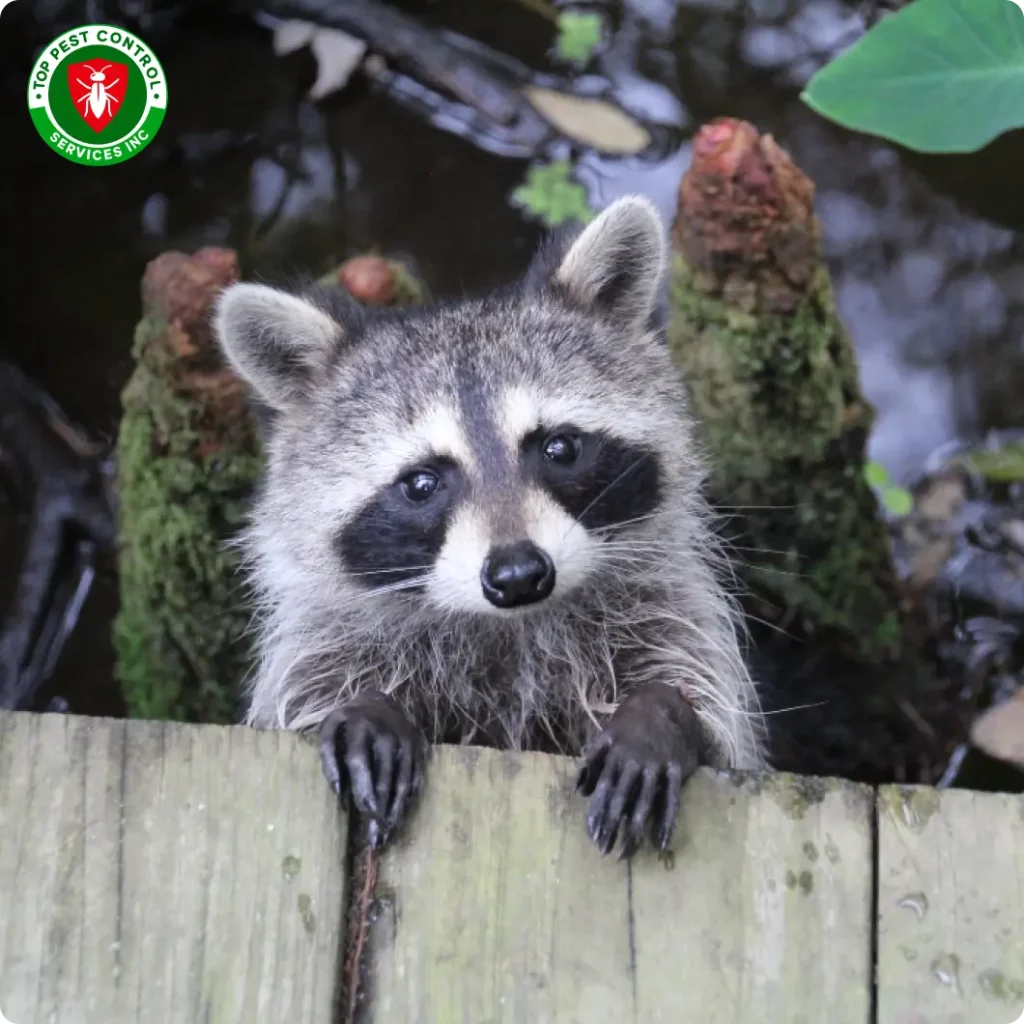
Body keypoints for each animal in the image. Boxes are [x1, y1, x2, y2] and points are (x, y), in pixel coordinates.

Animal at [213, 196, 768, 859]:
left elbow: (711, 710)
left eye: (560, 448)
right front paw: (364, 706)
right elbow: (307, 689)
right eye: (421, 483)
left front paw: (659, 713)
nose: (519, 574)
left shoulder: (659, 606)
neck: (509, 628)